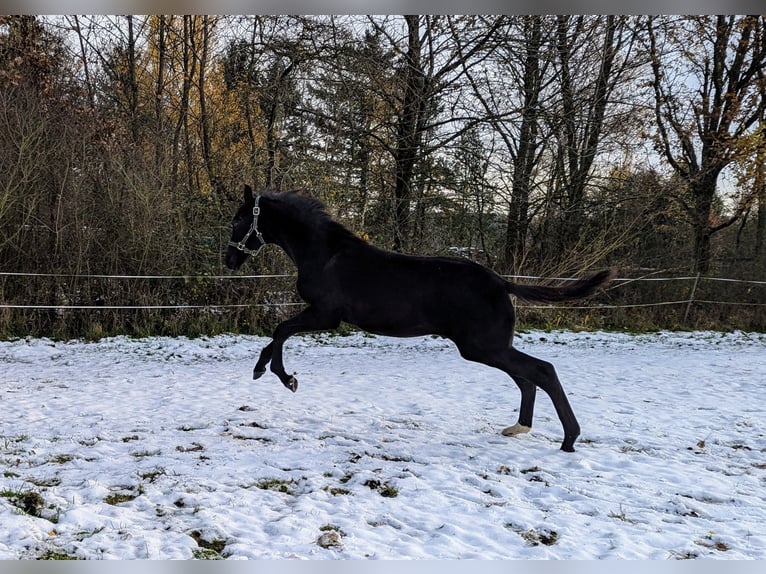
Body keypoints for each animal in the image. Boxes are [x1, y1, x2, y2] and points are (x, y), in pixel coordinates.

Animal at [225, 187, 616, 452]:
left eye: (239, 220)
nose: (228, 261)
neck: (323, 253)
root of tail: (500, 282)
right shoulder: (322, 317)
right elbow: (277, 334)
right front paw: (265, 370)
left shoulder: (326, 315)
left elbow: (281, 330)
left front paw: (284, 378)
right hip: (488, 347)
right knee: (527, 378)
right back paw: (519, 428)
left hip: (482, 346)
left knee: (542, 371)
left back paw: (568, 439)